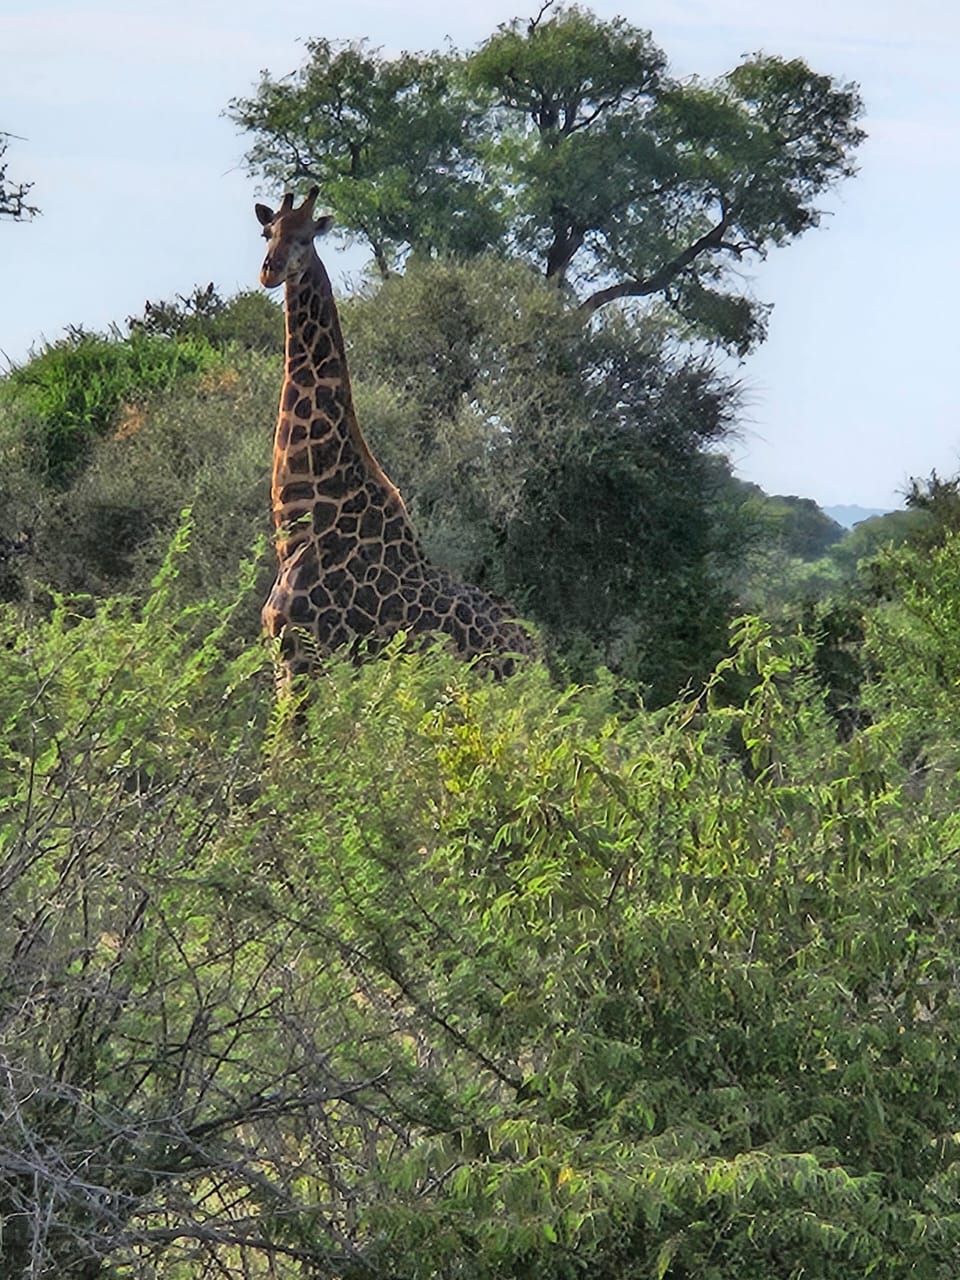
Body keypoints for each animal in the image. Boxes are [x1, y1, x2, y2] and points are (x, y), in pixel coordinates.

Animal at [255, 187, 535, 684]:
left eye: (306, 238)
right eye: (267, 232)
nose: (269, 270)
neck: (302, 521)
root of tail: (536, 656)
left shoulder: (300, 657)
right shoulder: (287, 659)